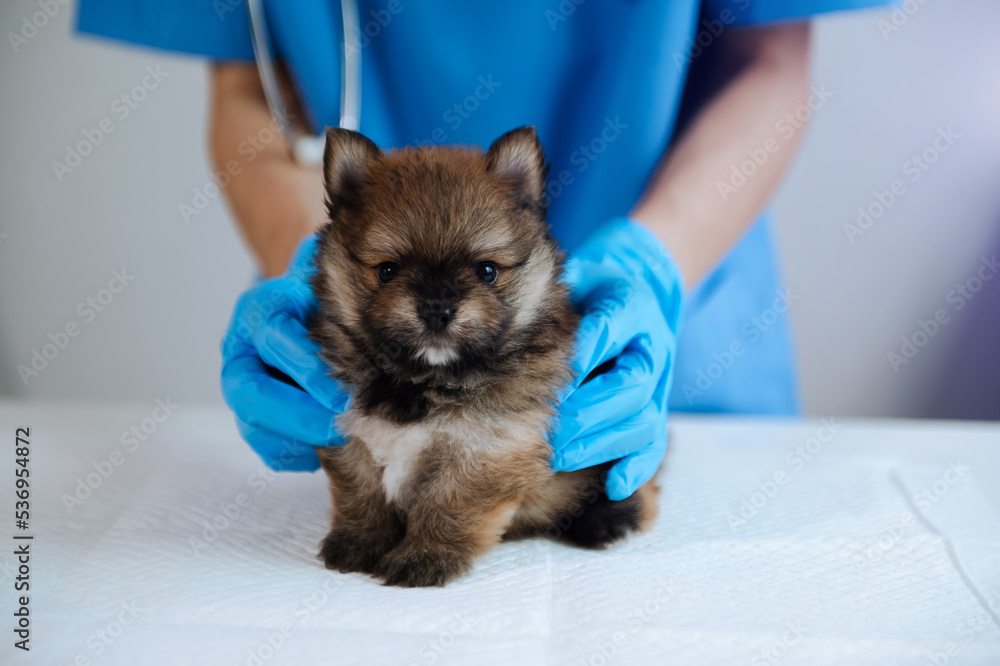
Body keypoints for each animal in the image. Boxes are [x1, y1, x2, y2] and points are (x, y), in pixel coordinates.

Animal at [308, 127, 660, 584]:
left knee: (638, 486)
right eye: (387, 271)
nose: (437, 308)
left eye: (486, 271)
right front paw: (359, 542)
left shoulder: (489, 448)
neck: (424, 380)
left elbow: (446, 505)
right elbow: (361, 494)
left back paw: (609, 520)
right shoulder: (351, 434)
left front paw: (425, 556)